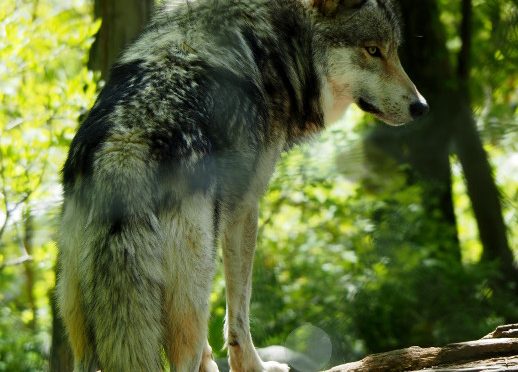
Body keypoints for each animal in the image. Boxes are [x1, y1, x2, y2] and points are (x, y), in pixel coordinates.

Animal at [57, 0, 430, 370]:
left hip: (85, 328)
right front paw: (256, 366)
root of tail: (124, 152)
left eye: (393, 50)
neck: (274, 41)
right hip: (191, 291)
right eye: (373, 51)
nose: (421, 106)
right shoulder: (245, 207)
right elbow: (239, 314)